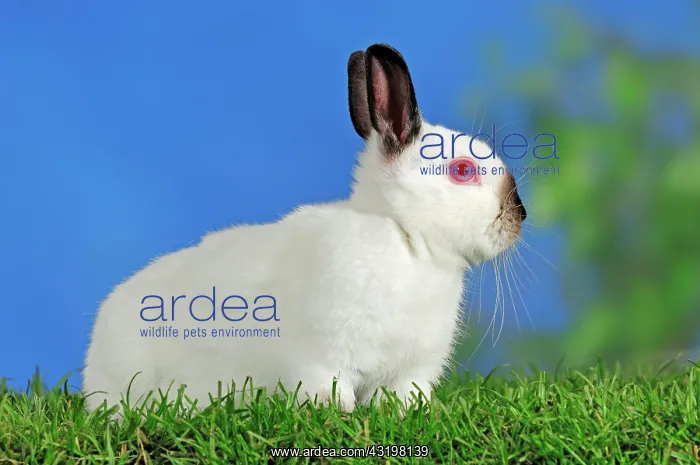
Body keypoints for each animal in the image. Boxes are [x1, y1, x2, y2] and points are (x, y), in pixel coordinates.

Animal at [82, 43, 527, 415]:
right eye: (463, 171)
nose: (520, 216)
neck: (406, 241)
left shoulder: (410, 372)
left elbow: (399, 401)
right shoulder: (322, 359)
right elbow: (330, 393)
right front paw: (339, 418)